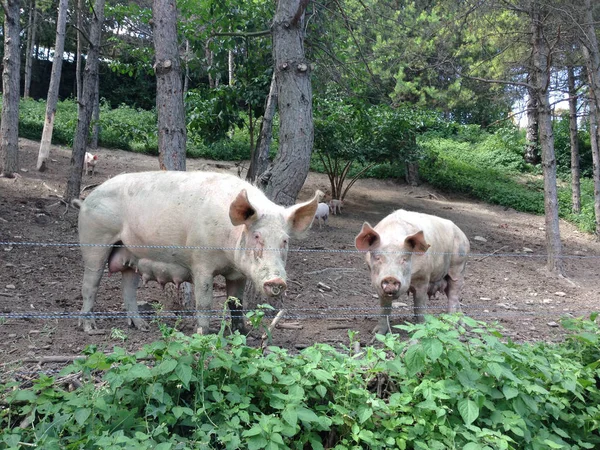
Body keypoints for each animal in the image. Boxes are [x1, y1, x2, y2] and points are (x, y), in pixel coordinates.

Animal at [72, 171, 322, 334]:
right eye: (257, 236)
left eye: (285, 240)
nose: (277, 281)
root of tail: (86, 200)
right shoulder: (201, 263)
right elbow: (204, 301)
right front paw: (202, 334)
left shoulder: (238, 274)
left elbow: (236, 303)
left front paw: (242, 334)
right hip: (95, 241)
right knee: (90, 284)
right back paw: (89, 328)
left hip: (130, 254)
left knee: (128, 289)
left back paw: (141, 327)